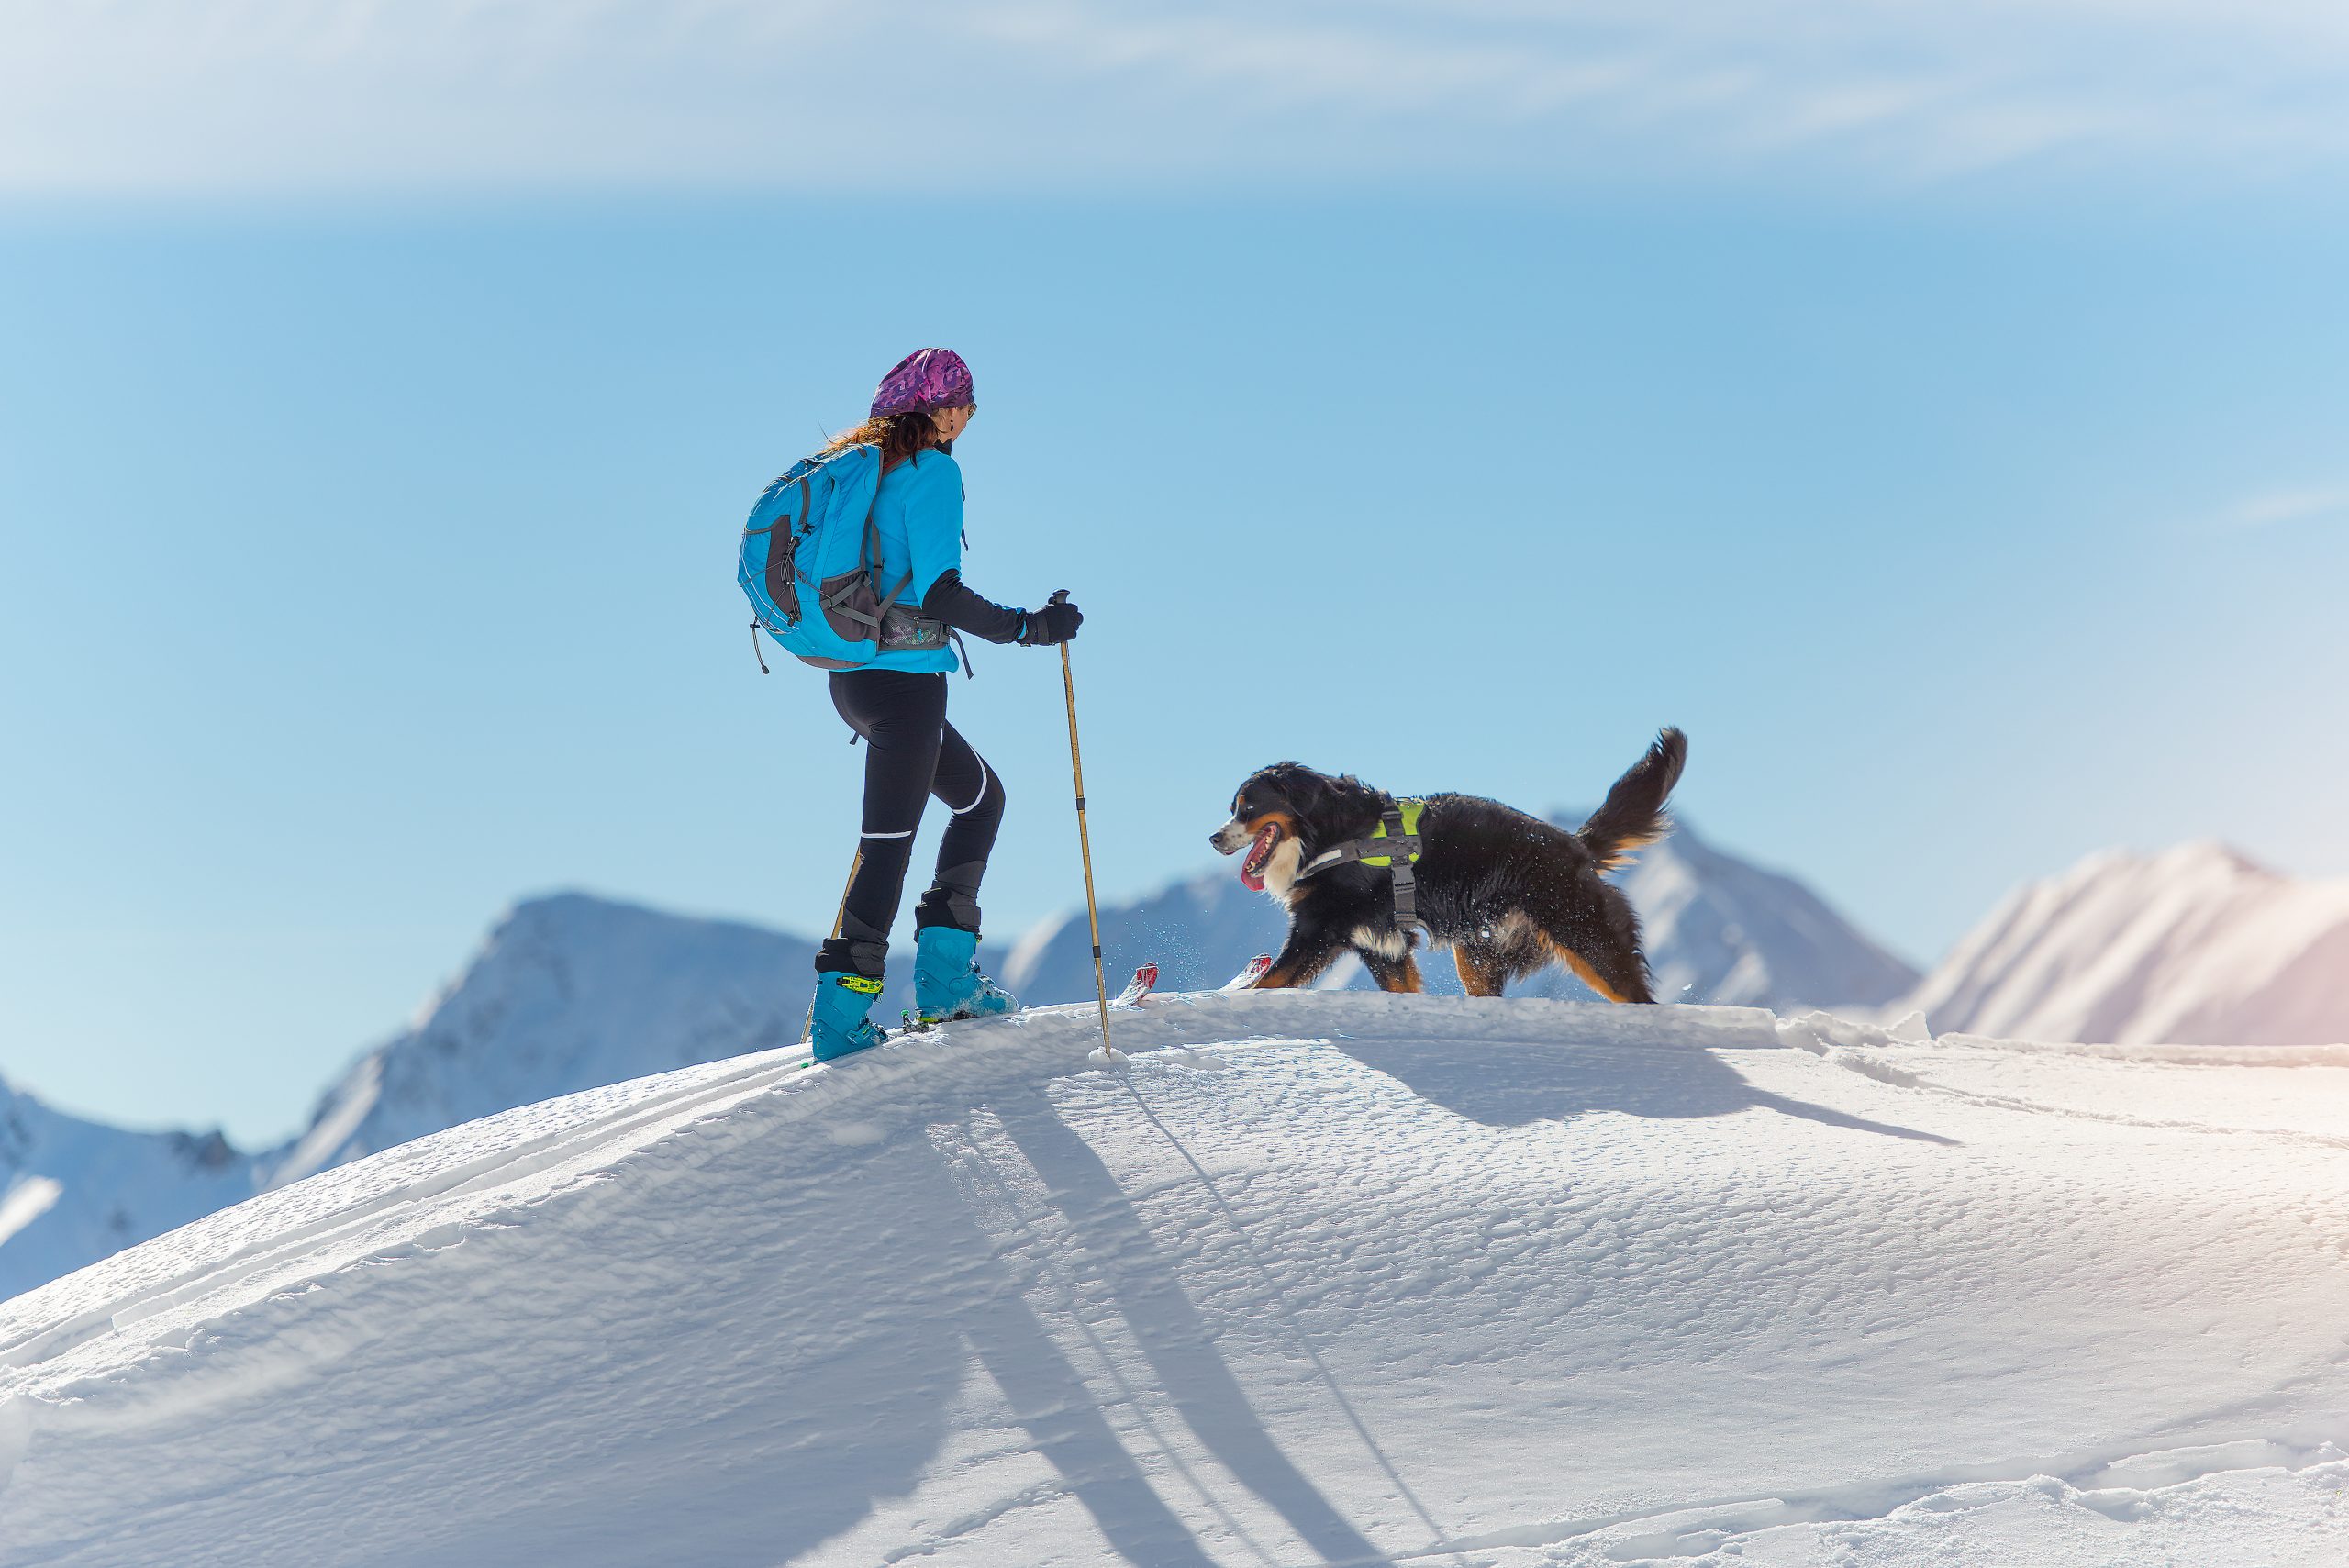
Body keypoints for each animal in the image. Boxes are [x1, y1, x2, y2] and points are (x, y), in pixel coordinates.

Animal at [1211, 728, 1691, 999]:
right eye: (1232, 808)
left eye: (1247, 808)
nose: (1214, 838)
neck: (1328, 834)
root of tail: (1577, 846)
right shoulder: (1380, 945)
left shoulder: (1318, 928)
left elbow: (1268, 982)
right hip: (1477, 953)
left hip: (1585, 938)